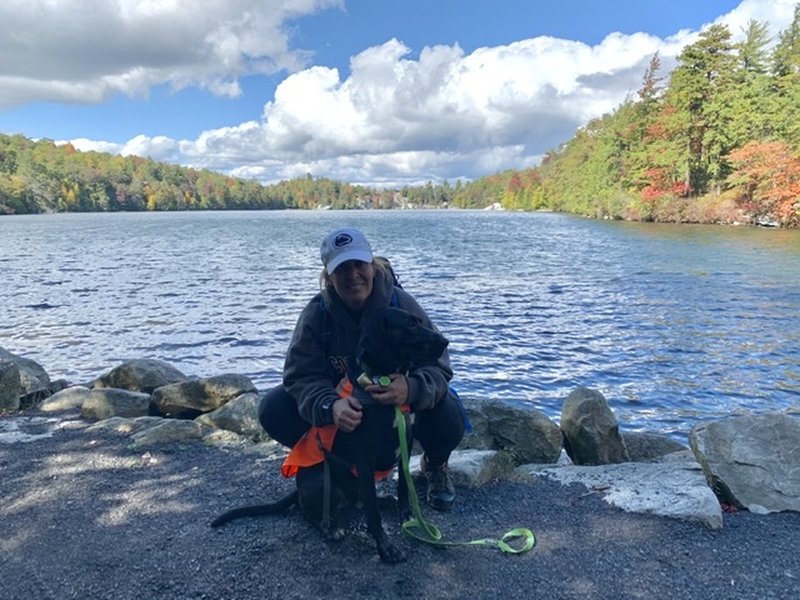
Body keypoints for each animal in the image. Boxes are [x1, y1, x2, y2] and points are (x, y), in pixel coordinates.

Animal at [211, 308, 450, 564]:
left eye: (419, 321)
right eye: (410, 325)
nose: (445, 341)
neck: (382, 379)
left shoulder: (407, 442)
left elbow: (404, 490)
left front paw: (407, 518)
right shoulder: (365, 457)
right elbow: (373, 516)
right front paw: (386, 548)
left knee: (361, 500)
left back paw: (383, 500)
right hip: (322, 480)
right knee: (311, 510)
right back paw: (330, 527)